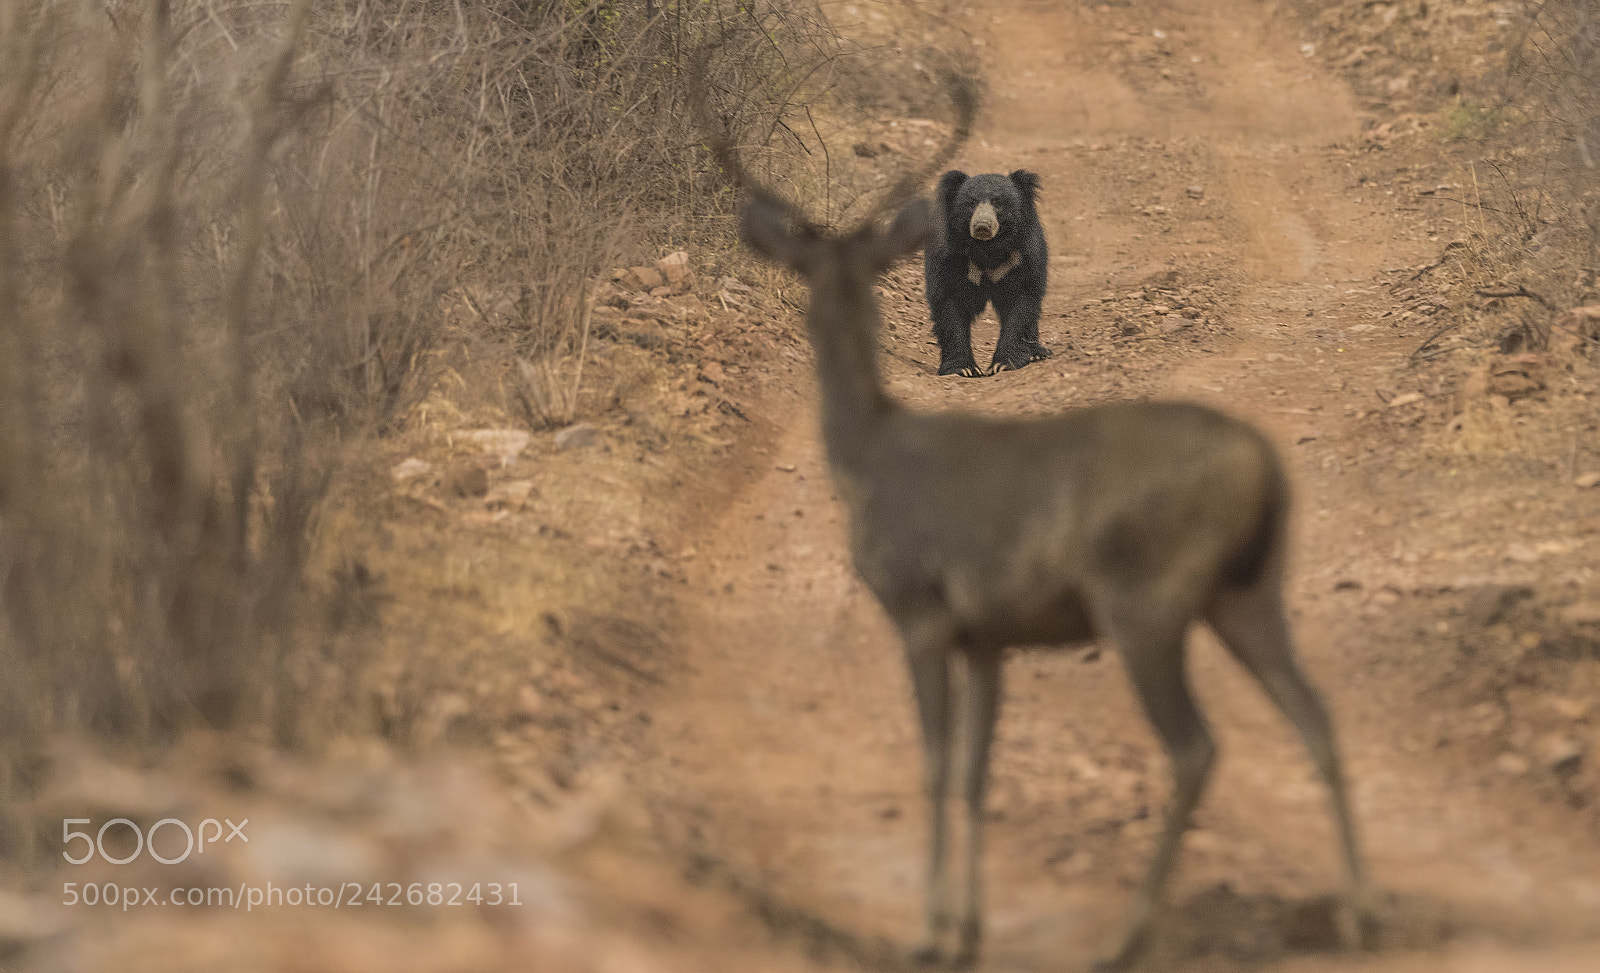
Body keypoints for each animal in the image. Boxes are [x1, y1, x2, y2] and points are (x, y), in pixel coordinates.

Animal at [924, 169, 1051, 377]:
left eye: (998, 203)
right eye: (971, 203)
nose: (982, 226)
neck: (987, 247)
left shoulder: (1023, 256)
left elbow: (1021, 304)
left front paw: (1004, 364)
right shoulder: (950, 258)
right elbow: (949, 306)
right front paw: (964, 368)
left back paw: (1038, 353)